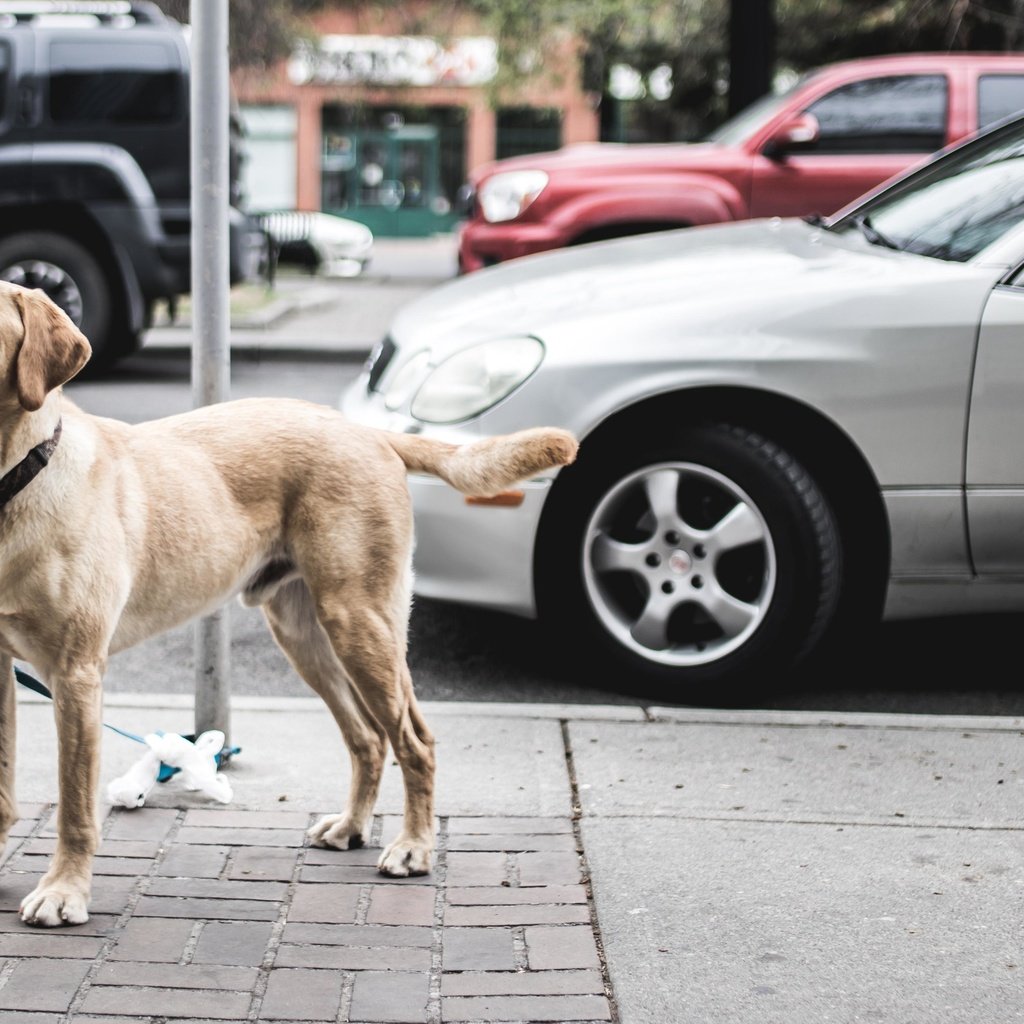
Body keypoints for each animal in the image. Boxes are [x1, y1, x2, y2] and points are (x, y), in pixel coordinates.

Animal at [0, 282, 581, 929]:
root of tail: (367, 431)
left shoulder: (75, 673)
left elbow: (74, 803)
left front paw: (64, 891)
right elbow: (3, 787)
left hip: (360, 623)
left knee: (414, 741)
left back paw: (414, 847)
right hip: (307, 636)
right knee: (368, 739)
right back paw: (352, 827)